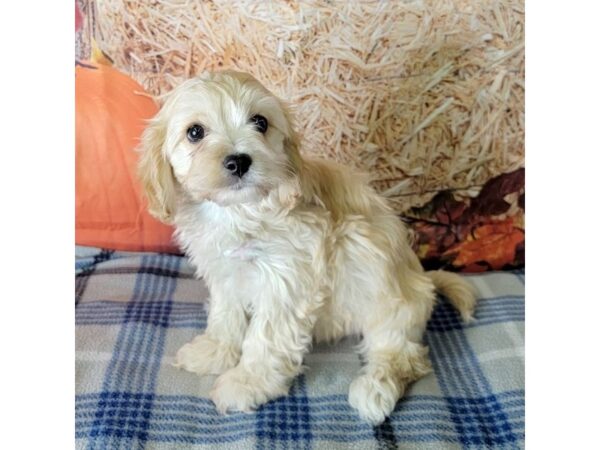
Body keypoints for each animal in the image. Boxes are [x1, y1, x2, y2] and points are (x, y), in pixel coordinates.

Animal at [138, 71, 476, 426]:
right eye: (195, 132)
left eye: (260, 122)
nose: (239, 161)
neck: (239, 211)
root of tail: (423, 279)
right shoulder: (225, 272)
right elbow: (224, 315)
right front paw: (214, 351)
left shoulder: (286, 278)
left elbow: (266, 337)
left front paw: (247, 382)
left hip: (375, 270)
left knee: (403, 352)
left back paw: (375, 387)